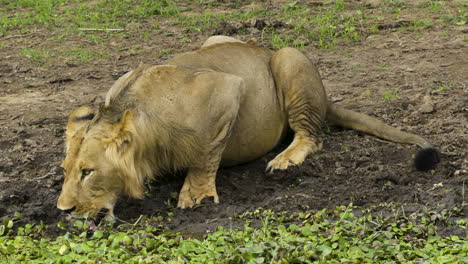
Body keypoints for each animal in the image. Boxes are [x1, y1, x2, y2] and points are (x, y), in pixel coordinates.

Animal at [56, 36, 440, 220]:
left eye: (88, 172)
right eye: (66, 171)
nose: (63, 211)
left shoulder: (226, 89)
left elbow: (206, 153)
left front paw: (196, 195)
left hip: (288, 58)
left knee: (311, 136)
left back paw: (285, 160)